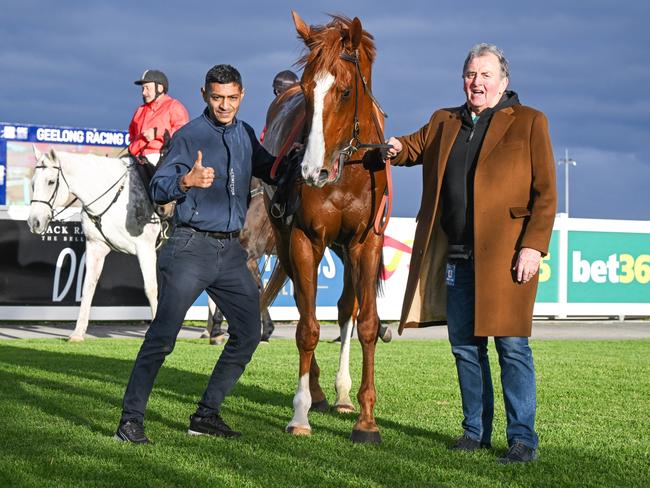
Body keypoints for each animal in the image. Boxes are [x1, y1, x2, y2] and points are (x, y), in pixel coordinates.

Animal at [260, 13, 388, 444]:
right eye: (306, 90)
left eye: (346, 91)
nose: (311, 171)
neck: (347, 170)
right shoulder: (304, 238)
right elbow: (307, 328)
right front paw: (300, 413)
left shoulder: (366, 243)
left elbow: (366, 323)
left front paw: (366, 419)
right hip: (287, 242)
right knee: (306, 308)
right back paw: (315, 394)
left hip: (344, 250)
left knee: (346, 307)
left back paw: (343, 395)